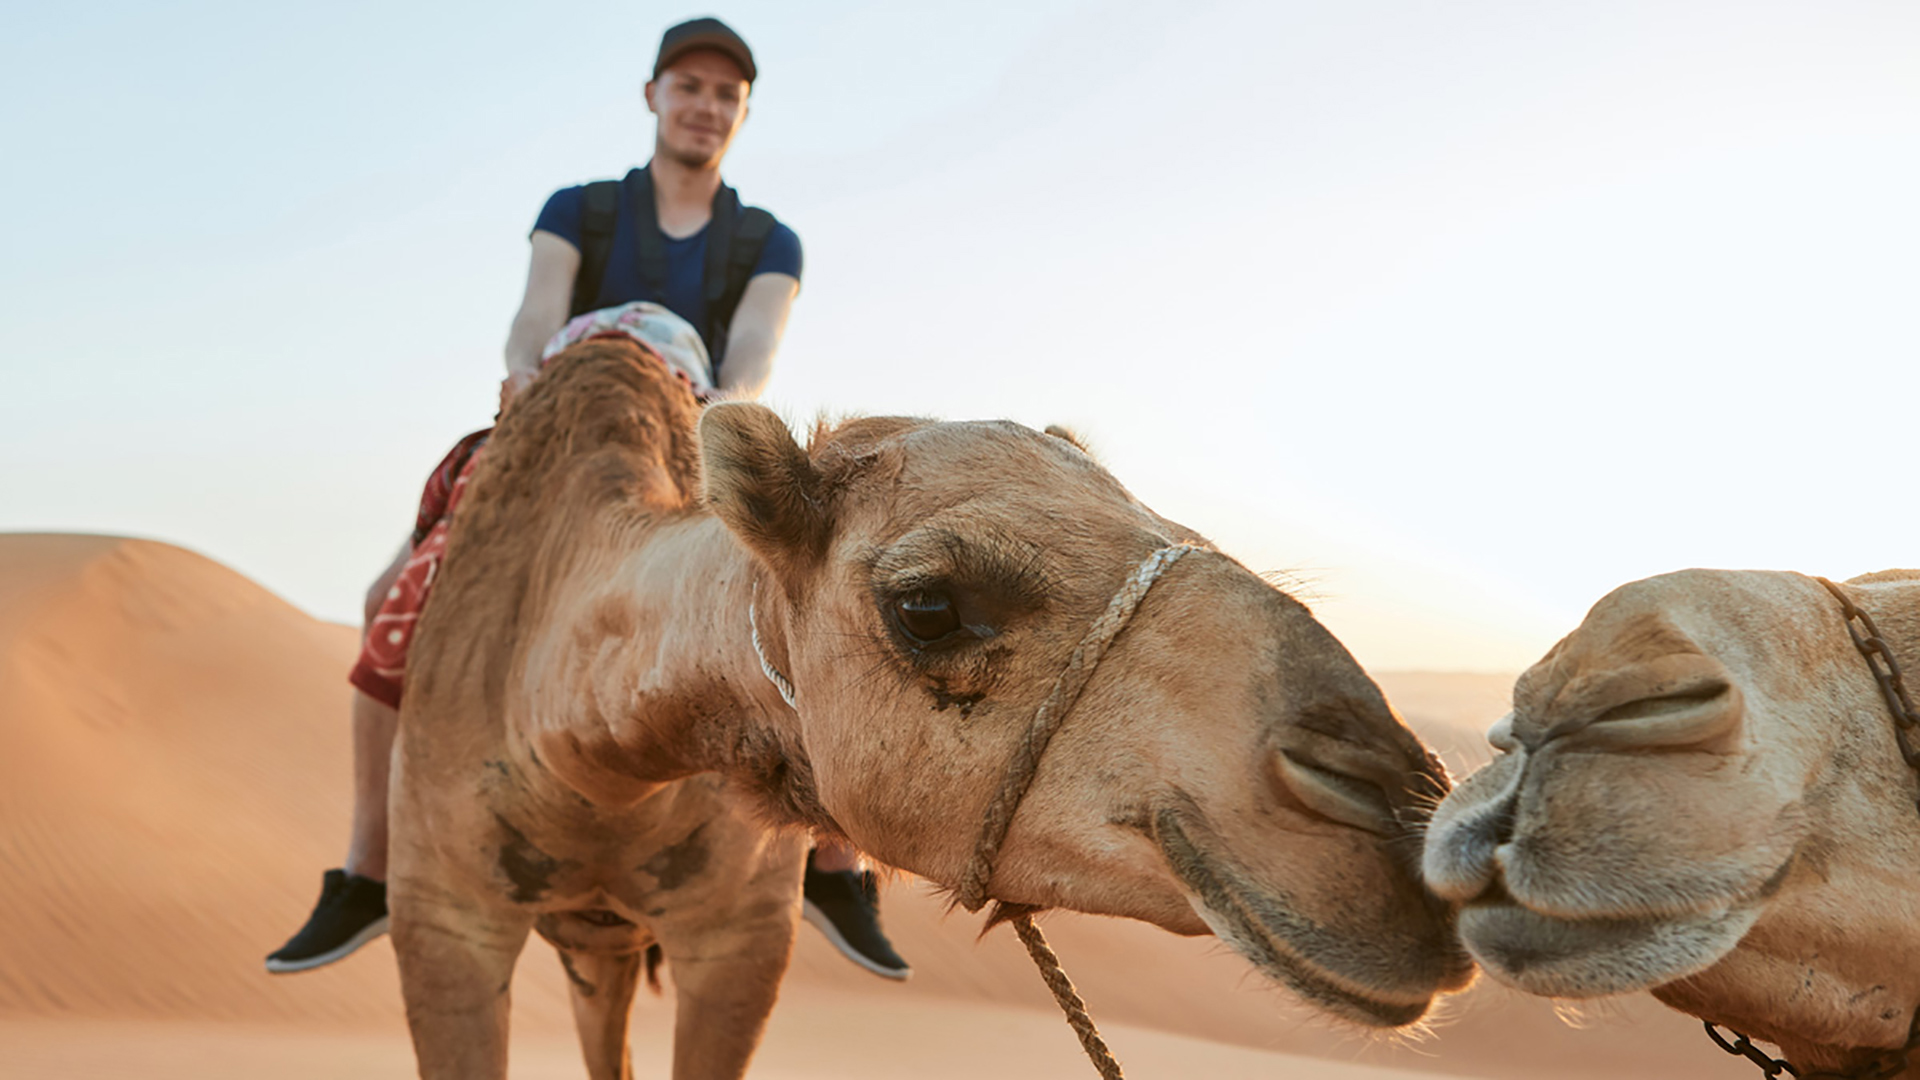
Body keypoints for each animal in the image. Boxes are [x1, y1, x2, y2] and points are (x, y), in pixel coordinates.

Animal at [385, 338, 1466, 1076]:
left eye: (1182, 530)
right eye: (929, 606)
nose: (1402, 812)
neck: (590, 747)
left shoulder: (741, 937)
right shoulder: (443, 921)